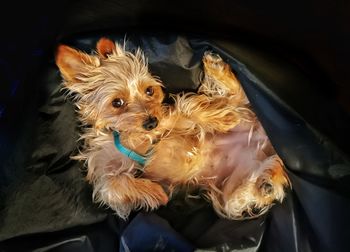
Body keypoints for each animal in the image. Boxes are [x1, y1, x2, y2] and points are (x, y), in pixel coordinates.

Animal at [54, 37, 290, 220]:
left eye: (149, 91)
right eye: (117, 103)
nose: (151, 122)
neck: (136, 138)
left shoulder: (169, 119)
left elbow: (189, 108)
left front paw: (223, 119)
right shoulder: (103, 176)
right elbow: (114, 185)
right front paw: (154, 192)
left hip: (244, 107)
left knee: (239, 94)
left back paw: (217, 69)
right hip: (231, 187)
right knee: (241, 197)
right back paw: (266, 183)